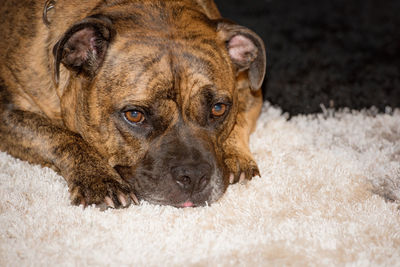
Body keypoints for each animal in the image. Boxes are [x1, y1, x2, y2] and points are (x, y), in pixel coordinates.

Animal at [0, 0, 266, 209]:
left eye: (218, 109)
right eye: (135, 115)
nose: (194, 175)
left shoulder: (250, 90)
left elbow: (240, 119)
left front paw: (235, 155)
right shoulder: (7, 113)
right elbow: (60, 136)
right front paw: (99, 179)